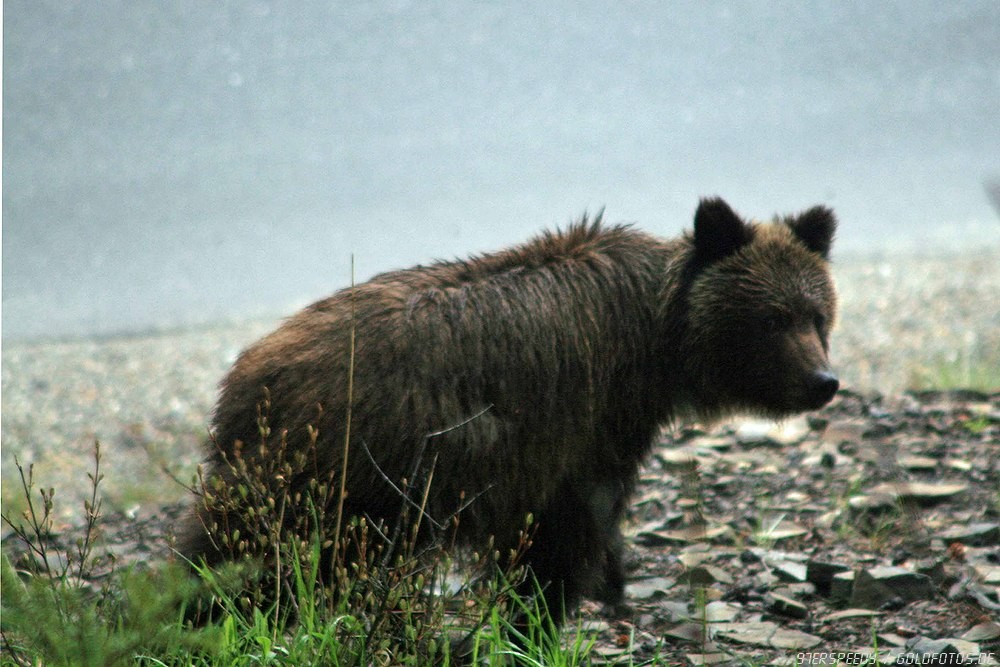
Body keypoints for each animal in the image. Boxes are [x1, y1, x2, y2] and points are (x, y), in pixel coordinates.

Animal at [177, 196, 838, 630]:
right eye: (772, 319)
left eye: (818, 314)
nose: (823, 383)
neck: (657, 342)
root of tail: (246, 376)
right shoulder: (586, 419)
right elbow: (570, 524)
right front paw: (550, 608)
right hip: (339, 468)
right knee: (252, 549)